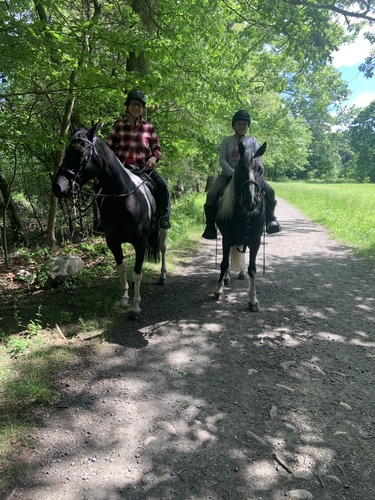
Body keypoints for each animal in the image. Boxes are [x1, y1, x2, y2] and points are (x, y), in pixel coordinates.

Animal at [52, 122, 168, 318]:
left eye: (80, 152)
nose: (58, 187)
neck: (124, 199)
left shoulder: (140, 242)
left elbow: (137, 272)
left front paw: (135, 307)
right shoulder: (113, 242)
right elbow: (122, 268)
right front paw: (125, 298)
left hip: (162, 229)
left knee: (162, 248)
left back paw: (162, 276)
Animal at [214, 139, 268, 310]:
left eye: (261, 170)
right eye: (240, 169)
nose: (250, 202)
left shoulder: (255, 241)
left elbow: (253, 269)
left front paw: (253, 300)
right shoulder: (227, 239)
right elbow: (224, 263)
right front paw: (218, 291)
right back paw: (226, 278)